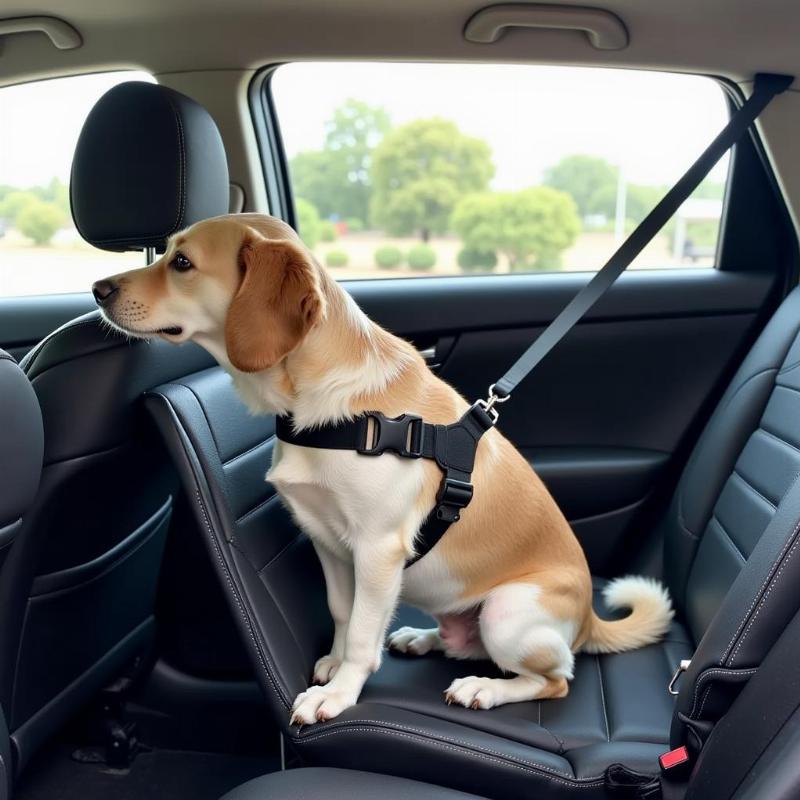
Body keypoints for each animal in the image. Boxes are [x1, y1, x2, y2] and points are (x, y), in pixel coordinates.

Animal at [92, 212, 676, 724]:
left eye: (182, 262)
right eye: (168, 253)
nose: (98, 288)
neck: (332, 409)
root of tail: (588, 622)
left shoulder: (377, 549)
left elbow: (361, 632)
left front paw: (339, 693)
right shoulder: (328, 542)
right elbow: (344, 614)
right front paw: (336, 663)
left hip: (507, 612)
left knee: (554, 679)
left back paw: (485, 688)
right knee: (464, 645)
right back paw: (422, 638)